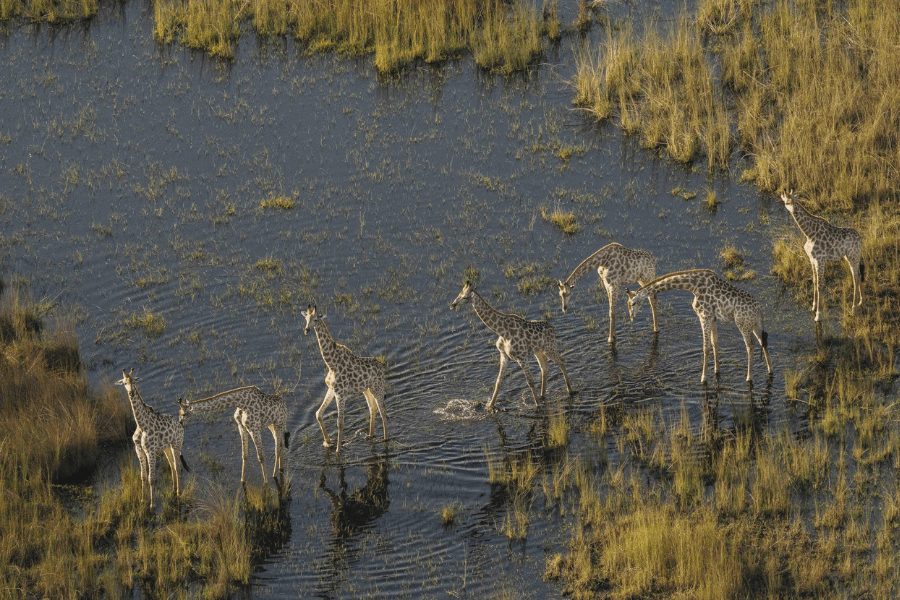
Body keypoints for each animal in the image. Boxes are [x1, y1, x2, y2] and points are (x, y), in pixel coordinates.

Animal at [115, 369, 189, 509]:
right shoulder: (139, 450)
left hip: (176, 444)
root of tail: (181, 425)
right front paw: (143, 500)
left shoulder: (151, 451)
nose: (131, 393)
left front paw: (152, 505)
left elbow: (152, 479)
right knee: (172, 465)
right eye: (124, 383)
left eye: (134, 381)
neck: (141, 425)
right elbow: (143, 476)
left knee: (177, 466)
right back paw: (173, 489)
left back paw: (178, 492)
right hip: (166, 447)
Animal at [302, 305, 388, 453]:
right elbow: (318, 413)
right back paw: (370, 435)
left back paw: (386, 439)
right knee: (373, 408)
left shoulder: (340, 394)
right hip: (367, 389)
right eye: (306, 318)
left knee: (383, 411)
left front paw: (337, 450)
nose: (306, 330)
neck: (331, 363)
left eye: (316, 318)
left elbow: (340, 423)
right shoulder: (332, 390)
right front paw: (327, 442)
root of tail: (382, 367)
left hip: (378, 388)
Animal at [450, 280, 573, 410]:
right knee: (545, 368)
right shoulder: (504, 355)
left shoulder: (521, 357)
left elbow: (530, 381)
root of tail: (552, 326)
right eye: (459, 294)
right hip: (538, 351)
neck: (502, 331)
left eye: (464, 297)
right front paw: (490, 406)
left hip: (549, 348)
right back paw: (542, 395)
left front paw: (537, 406)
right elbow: (498, 382)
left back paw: (569, 390)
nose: (453, 304)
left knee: (561, 361)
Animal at [625, 270, 773, 384]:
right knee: (763, 341)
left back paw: (749, 377)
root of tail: (759, 309)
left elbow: (706, 348)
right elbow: (715, 343)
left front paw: (703, 378)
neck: (693, 286)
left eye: (633, 304)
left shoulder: (704, 317)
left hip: (743, 324)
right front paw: (716, 371)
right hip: (755, 324)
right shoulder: (712, 318)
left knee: (750, 345)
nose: (632, 318)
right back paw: (770, 371)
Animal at [778, 190, 864, 321]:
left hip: (853, 257)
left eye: (795, 201)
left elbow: (820, 286)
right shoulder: (812, 259)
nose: (794, 211)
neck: (809, 234)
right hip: (852, 257)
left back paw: (854, 307)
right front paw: (814, 306)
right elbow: (814, 281)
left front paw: (818, 315)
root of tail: (860, 239)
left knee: (855, 277)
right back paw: (860, 302)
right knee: (858, 275)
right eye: (787, 202)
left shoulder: (820, 260)